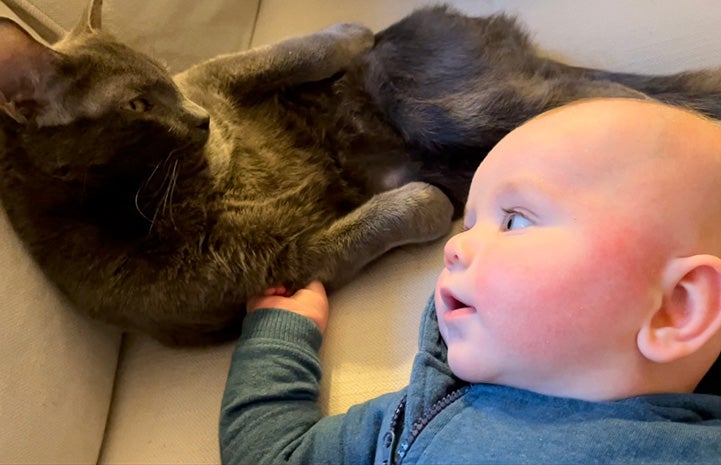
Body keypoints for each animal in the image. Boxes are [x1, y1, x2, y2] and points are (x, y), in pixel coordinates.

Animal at [1, 0, 720, 344]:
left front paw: (346, 31)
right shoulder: (279, 264)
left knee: (627, 102)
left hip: (449, 103)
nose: (199, 120)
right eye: (136, 105)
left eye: (165, 80)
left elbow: (279, 53)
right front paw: (430, 203)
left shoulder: (221, 76)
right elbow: (393, 214)